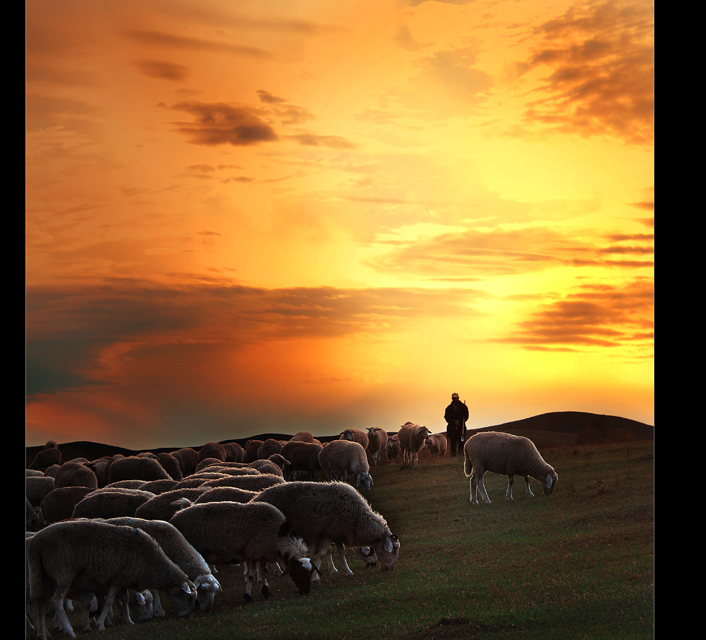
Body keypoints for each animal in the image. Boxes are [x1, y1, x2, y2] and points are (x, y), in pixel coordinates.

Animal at [26, 520, 197, 640]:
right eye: (189, 598)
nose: (184, 617)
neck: (151, 563)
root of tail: (35, 543)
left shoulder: (123, 580)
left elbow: (124, 599)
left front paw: (128, 620)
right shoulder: (117, 578)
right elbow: (110, 601)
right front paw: (100, 624)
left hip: (44, 576)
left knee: (40, 605)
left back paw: (44, 634)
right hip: (63, 572)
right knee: (56, 601)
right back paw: (69, 631)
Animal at [168, 500, 314, 604]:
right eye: (298, 572)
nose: (306, 592)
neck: (277, 535)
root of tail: (174, 517)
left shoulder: (262, 552)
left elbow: (264, 572)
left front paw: (266, 592)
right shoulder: (252, 553)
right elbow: (250, 576)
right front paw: (248, 597)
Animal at [250, 480, 398, 580]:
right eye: (394, 549)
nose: (390, 568)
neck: (356, 518)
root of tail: (255, 499)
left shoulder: (336, 532)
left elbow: (340, 551)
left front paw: (347, 570)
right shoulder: (327, 533)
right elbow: (321, 553)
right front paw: (315, 575)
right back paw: (273, 573)